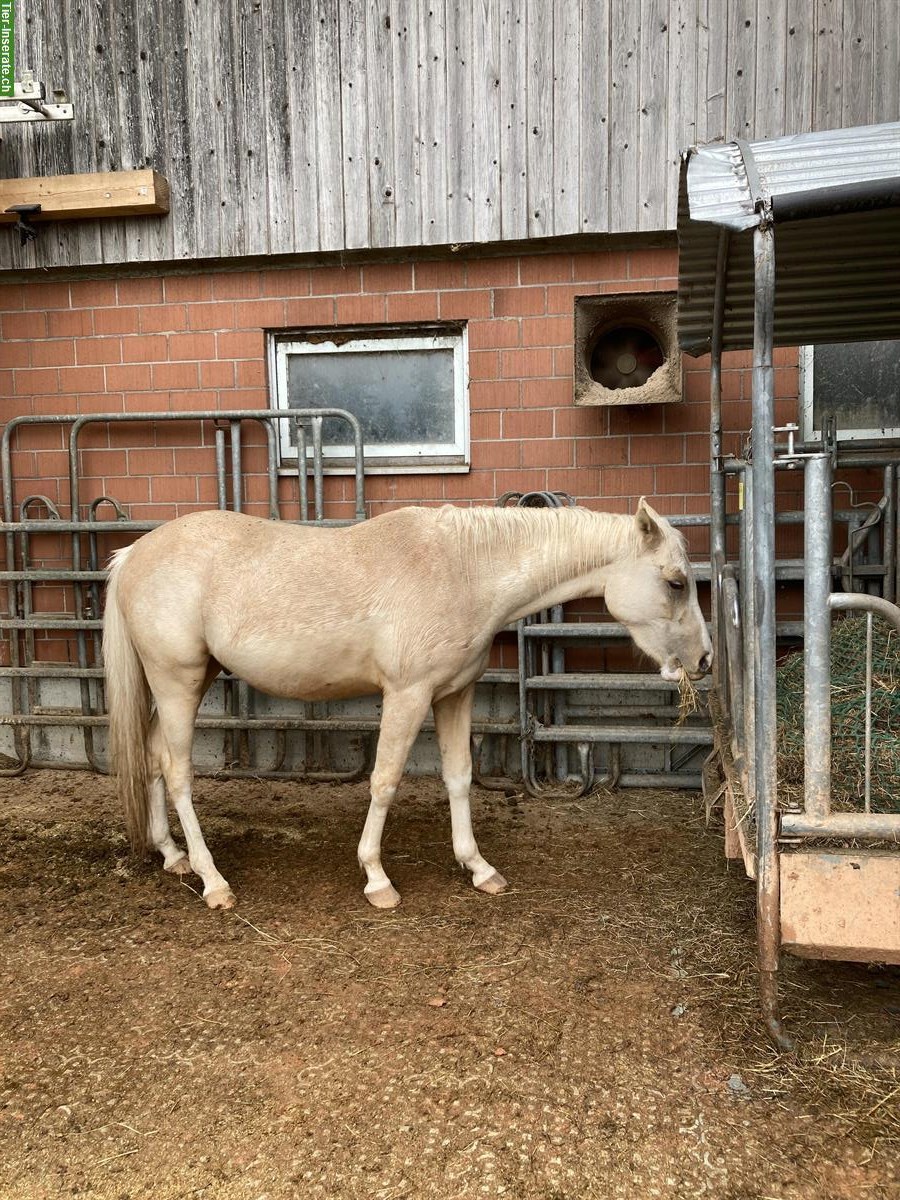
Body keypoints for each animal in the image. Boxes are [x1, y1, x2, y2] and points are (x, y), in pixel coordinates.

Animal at [103, 499, 710, 907]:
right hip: (177, 683)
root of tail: (134, 554)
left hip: (184, 683)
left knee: (154, 758)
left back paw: (173, 856)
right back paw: (212, 881)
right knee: (177, 771)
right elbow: (385, 781)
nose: (704, 659)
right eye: (676, 583)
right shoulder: (407, 695)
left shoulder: (454, 695)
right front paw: (376, 878)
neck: (464, 570)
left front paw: (478, 868)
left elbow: (459, 777)